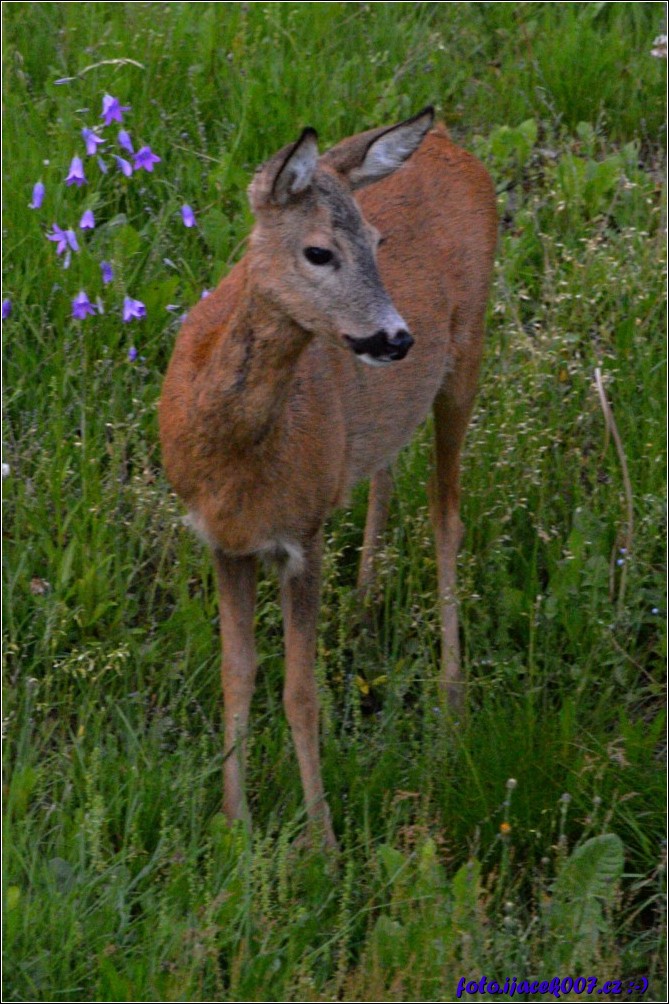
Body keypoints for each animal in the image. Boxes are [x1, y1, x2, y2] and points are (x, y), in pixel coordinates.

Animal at [158, 107, 498, 847]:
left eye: (376, 240)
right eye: (318, 252)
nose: (397, 338)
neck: (237, 456)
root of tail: (451, 145)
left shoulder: (303, 533)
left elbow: (300, 691)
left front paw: (322, 843)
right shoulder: (221, 539)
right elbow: (236, 673)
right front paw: (234, 825)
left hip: (467, 351)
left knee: (447, 515)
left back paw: (453, 701)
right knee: (386, 471)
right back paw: (366, 604)